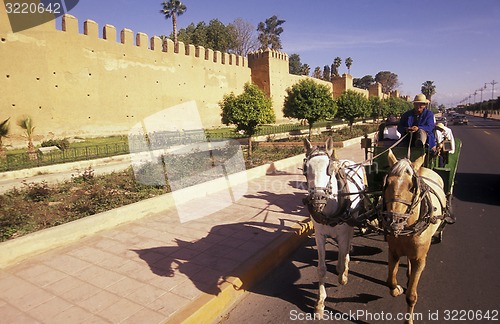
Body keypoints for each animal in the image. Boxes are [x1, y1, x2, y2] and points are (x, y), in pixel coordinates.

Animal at [300, 137, 368, 316]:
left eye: (329, 169)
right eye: (305, 170)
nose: (317, 199)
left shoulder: (344, 232)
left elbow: (341, 259)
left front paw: (342, 275)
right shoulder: (319, 236)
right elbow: (321, 269)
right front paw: (320, 302)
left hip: (353, 218)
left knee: (349, 239)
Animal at [380, 150, 448, 324]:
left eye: (412, 187)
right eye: (387, 183)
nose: (393, 221)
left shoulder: (420, 259)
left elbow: (411, 296)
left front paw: (408, 320)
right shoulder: (393, 252)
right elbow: (390, 280)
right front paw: (396, 289)